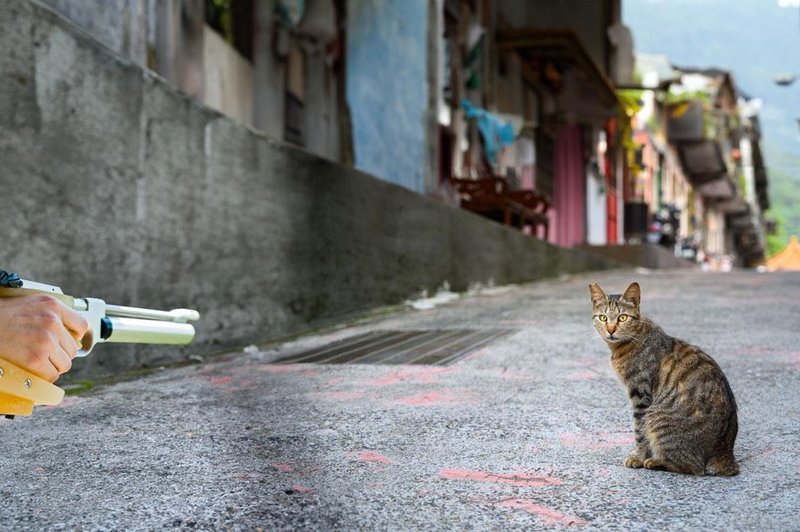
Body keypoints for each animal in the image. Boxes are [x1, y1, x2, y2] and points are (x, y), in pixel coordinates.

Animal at [588, 282, 736, 478]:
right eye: (603, 318)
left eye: (622, 318)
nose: (610, 330)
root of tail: (726, 453)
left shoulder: (641, 395)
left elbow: (639, 431)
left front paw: (639, 457)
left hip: (657, 417)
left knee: (694, 467)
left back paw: (655, 461)